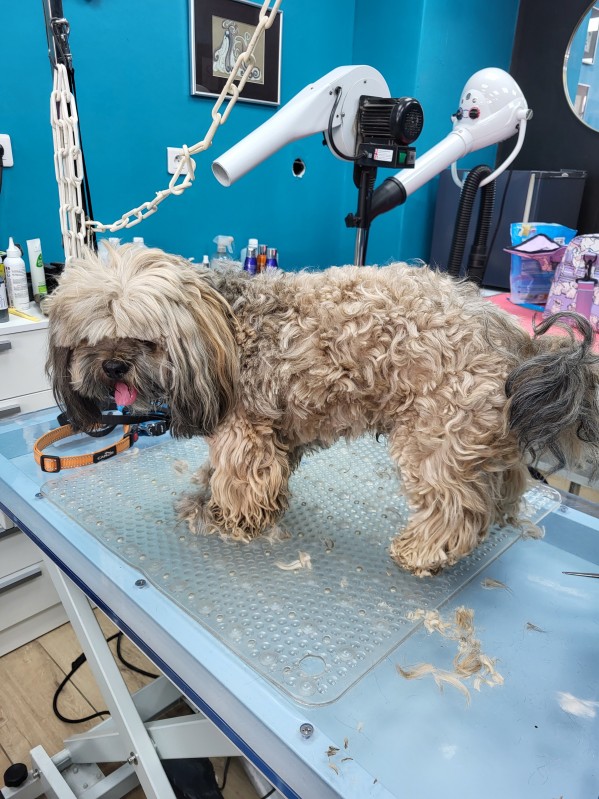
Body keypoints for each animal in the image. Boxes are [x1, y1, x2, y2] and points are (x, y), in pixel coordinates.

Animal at [44, 245, 599, 576]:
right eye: (88, 341)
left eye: (145, 340)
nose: (113, 365)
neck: (221, 322)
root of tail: (499, 327)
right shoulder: (276, 431)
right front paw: (209, 499)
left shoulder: (245, 431)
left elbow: (242, 479)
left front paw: (229, 519)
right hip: (481, 430)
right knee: (504, 479)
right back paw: (502, 511)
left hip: (437, 432)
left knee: (456, 506)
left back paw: (424, 550)